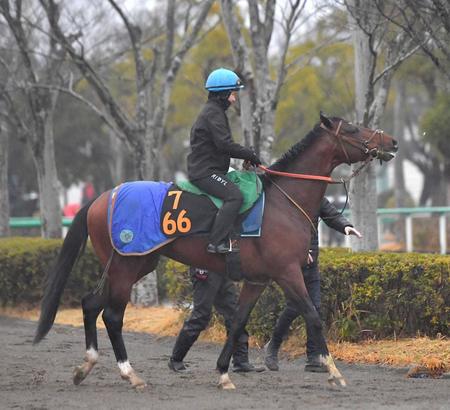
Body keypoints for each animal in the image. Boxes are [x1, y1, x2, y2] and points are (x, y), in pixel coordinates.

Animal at [32, 112, 398, 390]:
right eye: (352, 128)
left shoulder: (258, 280)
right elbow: (312, 315)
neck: (283, 202)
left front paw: (224, 373)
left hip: (136, 264)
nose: (391, 142)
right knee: (111, 315)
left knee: (91, 303)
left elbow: (237, 322)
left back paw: (86, 366)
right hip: (126, 265)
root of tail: (100, 198)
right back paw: (129, 373)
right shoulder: (288, 272)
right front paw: (334, 371)